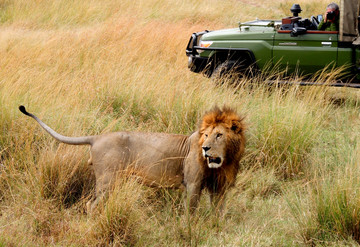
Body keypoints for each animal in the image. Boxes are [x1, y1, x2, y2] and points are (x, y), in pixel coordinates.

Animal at [19, 105, 245, 213]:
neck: (224, 161)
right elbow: (192, 212)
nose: (206, 148)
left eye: (219, 135)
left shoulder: (219, 187)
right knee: (91, 205)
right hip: (108, 180)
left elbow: (218, 211)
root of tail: (97, 137)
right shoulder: (193, 184)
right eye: (206, 135)